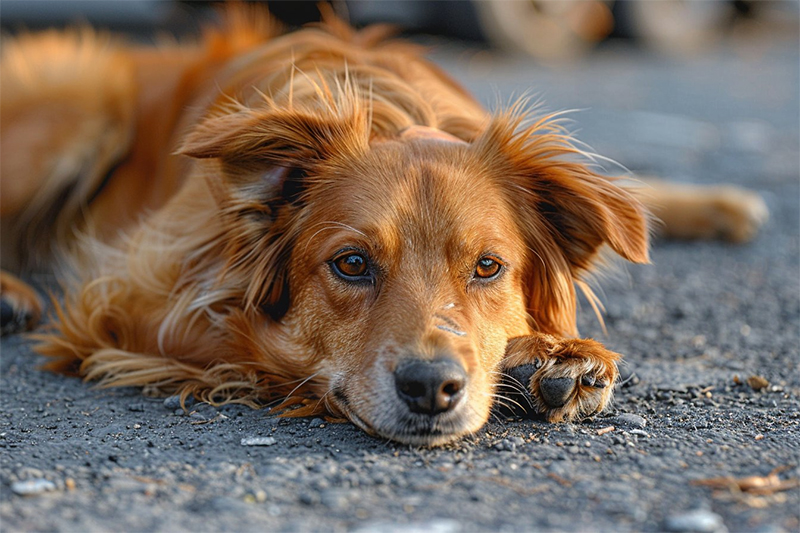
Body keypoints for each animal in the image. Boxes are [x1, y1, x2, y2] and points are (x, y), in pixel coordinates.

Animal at [0, 7, 768, 444]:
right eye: (351, 264)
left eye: (488, 266)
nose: (431, 388)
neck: (392, 112)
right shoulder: (124, 299)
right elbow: (266, 347)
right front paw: (536, 358)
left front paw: (552, 357)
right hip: (77, 103)